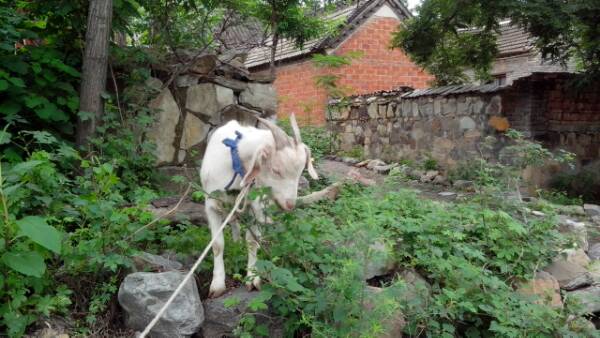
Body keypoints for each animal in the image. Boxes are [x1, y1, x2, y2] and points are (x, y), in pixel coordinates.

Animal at [199, 114, 318, 298]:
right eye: (276, 170)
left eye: (300, 172)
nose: (290, 205)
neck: (236, 166)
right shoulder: (211, 204)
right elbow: (217, 244)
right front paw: (217, 285)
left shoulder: (253, 205)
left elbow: (252, 241)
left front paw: (252, 278)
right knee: (233, 221)